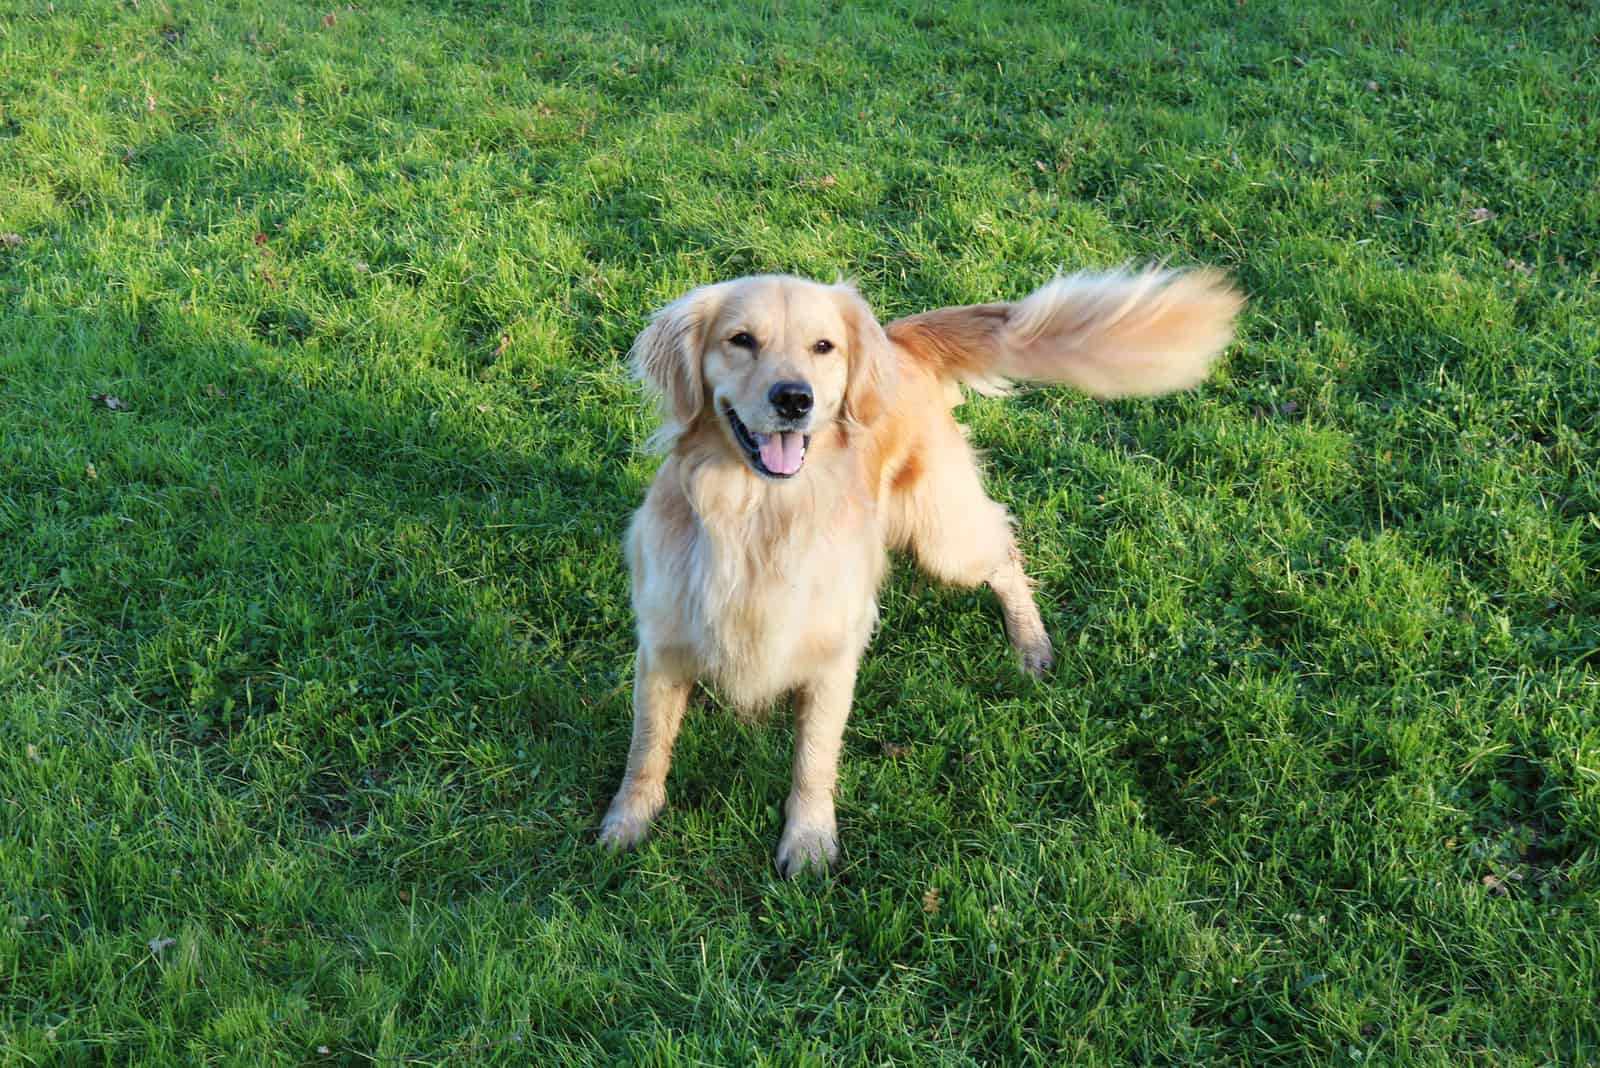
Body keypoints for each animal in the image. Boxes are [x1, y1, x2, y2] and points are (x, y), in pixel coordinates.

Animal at [601, 267, 1248, 876]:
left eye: (822, 346)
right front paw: (628, 821)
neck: (759, 518)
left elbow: (814, 759)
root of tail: (899, 339)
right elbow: (647, 747)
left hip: (943, 538)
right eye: (741, 340)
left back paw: (1030, 642)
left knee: (1004, 549)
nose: (794, 399)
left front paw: (808, 840)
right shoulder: (662, 649)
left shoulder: (831, 659)